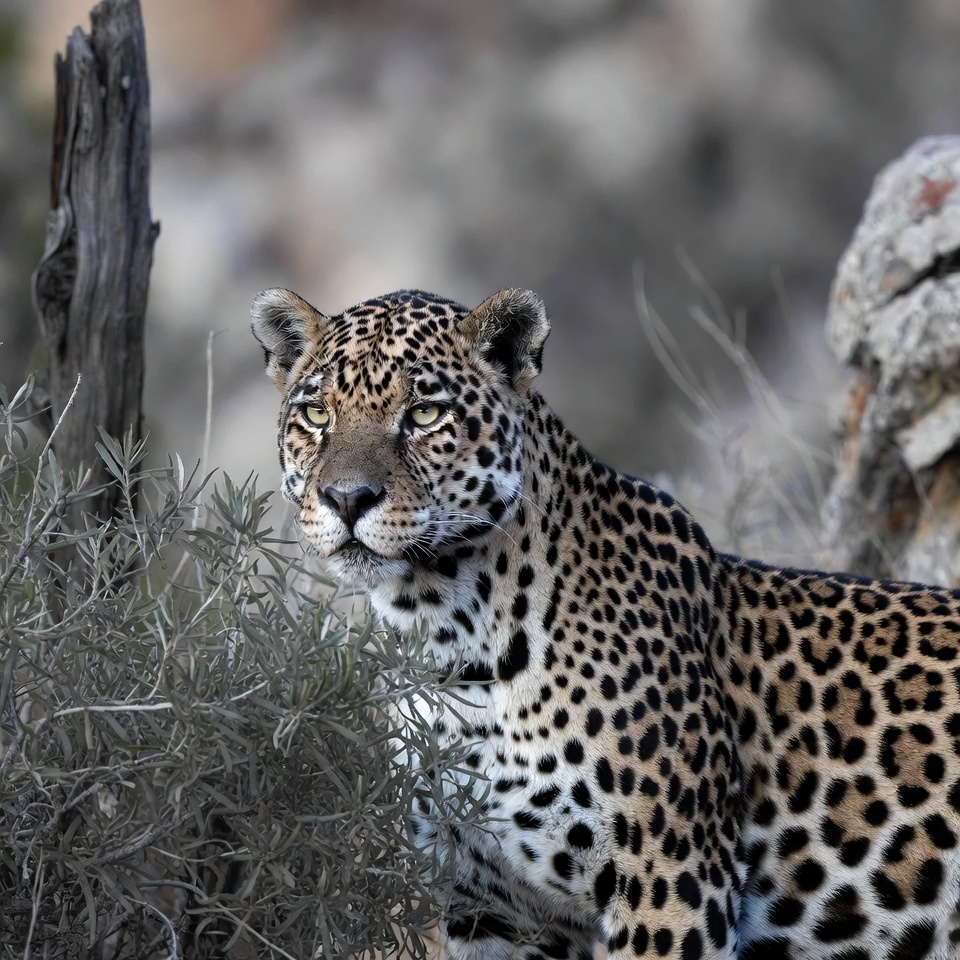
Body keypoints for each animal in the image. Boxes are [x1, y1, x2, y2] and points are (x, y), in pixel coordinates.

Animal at [251, 285, 960, 960]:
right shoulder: (494, 900)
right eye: (316, 414)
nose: (346, 498)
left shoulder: (671, 879)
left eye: (425, 414)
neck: (447, 635)